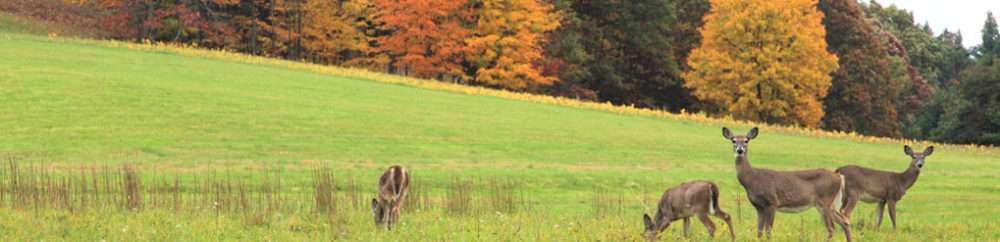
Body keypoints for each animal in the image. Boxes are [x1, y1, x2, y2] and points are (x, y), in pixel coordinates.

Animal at [720, 127, 852, 241]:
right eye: (733, 140)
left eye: (746, 140)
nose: (740, 150)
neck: (752, 179)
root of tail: (839, 177)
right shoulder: (758, 207)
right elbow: (759, 231)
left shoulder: (772, 202)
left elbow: (768, 230)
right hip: (831, 204)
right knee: (844, 222)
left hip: (825, 201)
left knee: (832, 228)